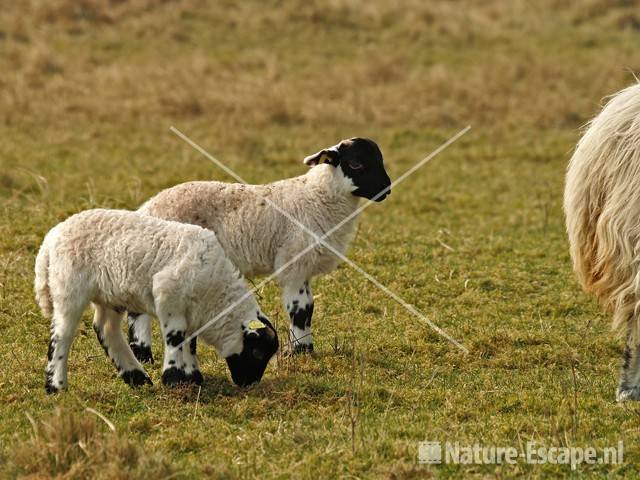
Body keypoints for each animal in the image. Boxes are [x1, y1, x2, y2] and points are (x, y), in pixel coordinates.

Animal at [33, 208, 278, 392]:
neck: (214, 293)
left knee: (106, 329)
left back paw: (136, 377)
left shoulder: (191, 310)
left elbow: (190, 341)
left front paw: (192, 377)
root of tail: (52, 238)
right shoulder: (169, 297)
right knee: (62, 336)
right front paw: (174, 379)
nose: (249, 383)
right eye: (257, 352)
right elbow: (175, 338)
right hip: (68, 288)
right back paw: (57, 386)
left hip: (111, 295)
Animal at [128, 136, 392, 360]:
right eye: (356, 164)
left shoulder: (303, 266)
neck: (318, 197)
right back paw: (142, 354)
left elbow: (309, 307)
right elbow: (300, 309)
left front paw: (306, 348)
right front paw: (300, 351)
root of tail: (147, 207)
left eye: (380, 159)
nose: (387, 190)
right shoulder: (294, 263)